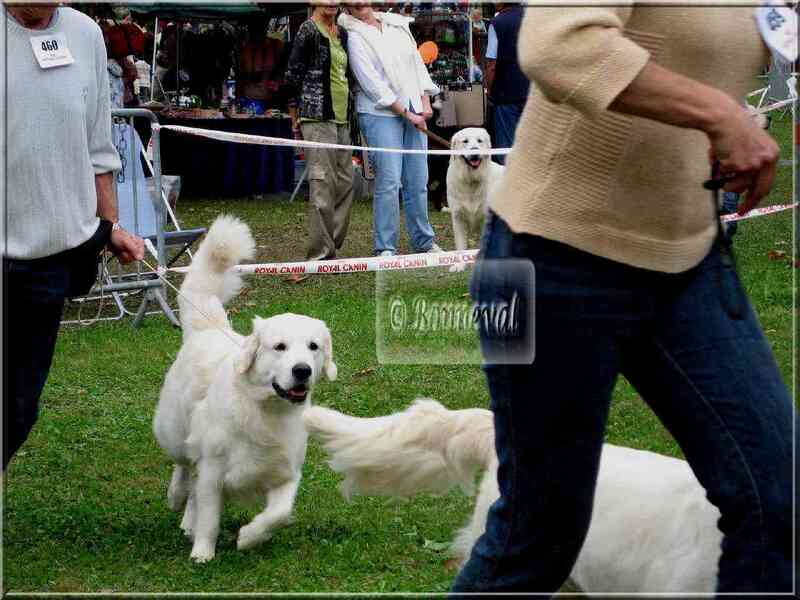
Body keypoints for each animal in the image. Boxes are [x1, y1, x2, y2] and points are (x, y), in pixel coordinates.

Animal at [153, 214, 338, 564]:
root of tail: (209, 329)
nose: (302, 371)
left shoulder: (286, 474)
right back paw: (175, 498)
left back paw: (187, 522)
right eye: (279, 347)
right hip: (175, 432)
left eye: (313, 347)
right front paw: (203, 553)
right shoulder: (213, 471)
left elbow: (278, 514)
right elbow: (210, 517)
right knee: (183, 466)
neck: (265, 411)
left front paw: (249, 537)